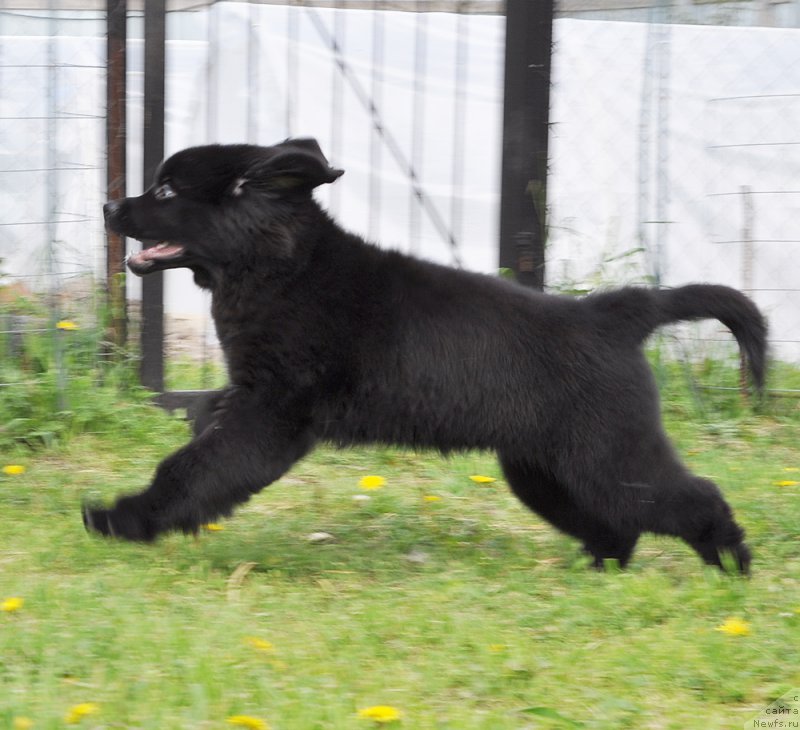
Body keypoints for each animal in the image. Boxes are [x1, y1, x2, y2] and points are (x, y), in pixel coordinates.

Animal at [89, 135, 768, 568]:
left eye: (166, 189)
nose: (107, 205)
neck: (283, 268)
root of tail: (617, 313)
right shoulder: (250, 394)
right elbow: (204, 425)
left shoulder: (272, 416)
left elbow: (193, 470)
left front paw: (124, 518)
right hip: (543, 469)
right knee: (617, 520)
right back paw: (601, 568)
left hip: (607, 452)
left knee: (687, 496)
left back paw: (732, 562)